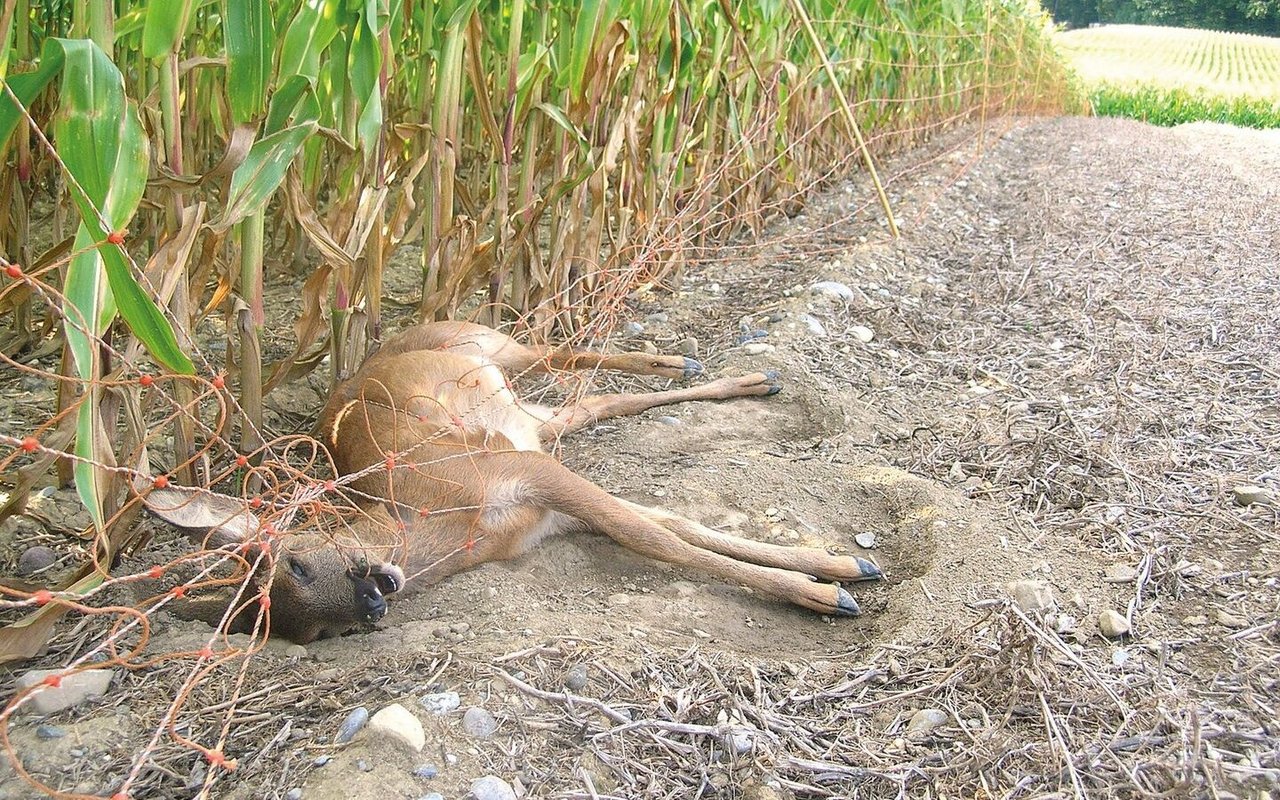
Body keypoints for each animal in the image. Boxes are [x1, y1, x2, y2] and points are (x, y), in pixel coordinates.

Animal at [142, 321, 880, 640]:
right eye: (322, 635)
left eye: (293, 561)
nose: (373, 600)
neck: (443, 520)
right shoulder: (547, 502)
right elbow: (669, 525)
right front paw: (836, 568)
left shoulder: (522, 472)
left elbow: (659, 538)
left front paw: (823, 590)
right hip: (538, 417)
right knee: (597, 401)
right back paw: (744, 380)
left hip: (495, 346)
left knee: (564, 349)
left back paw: (695, 362)